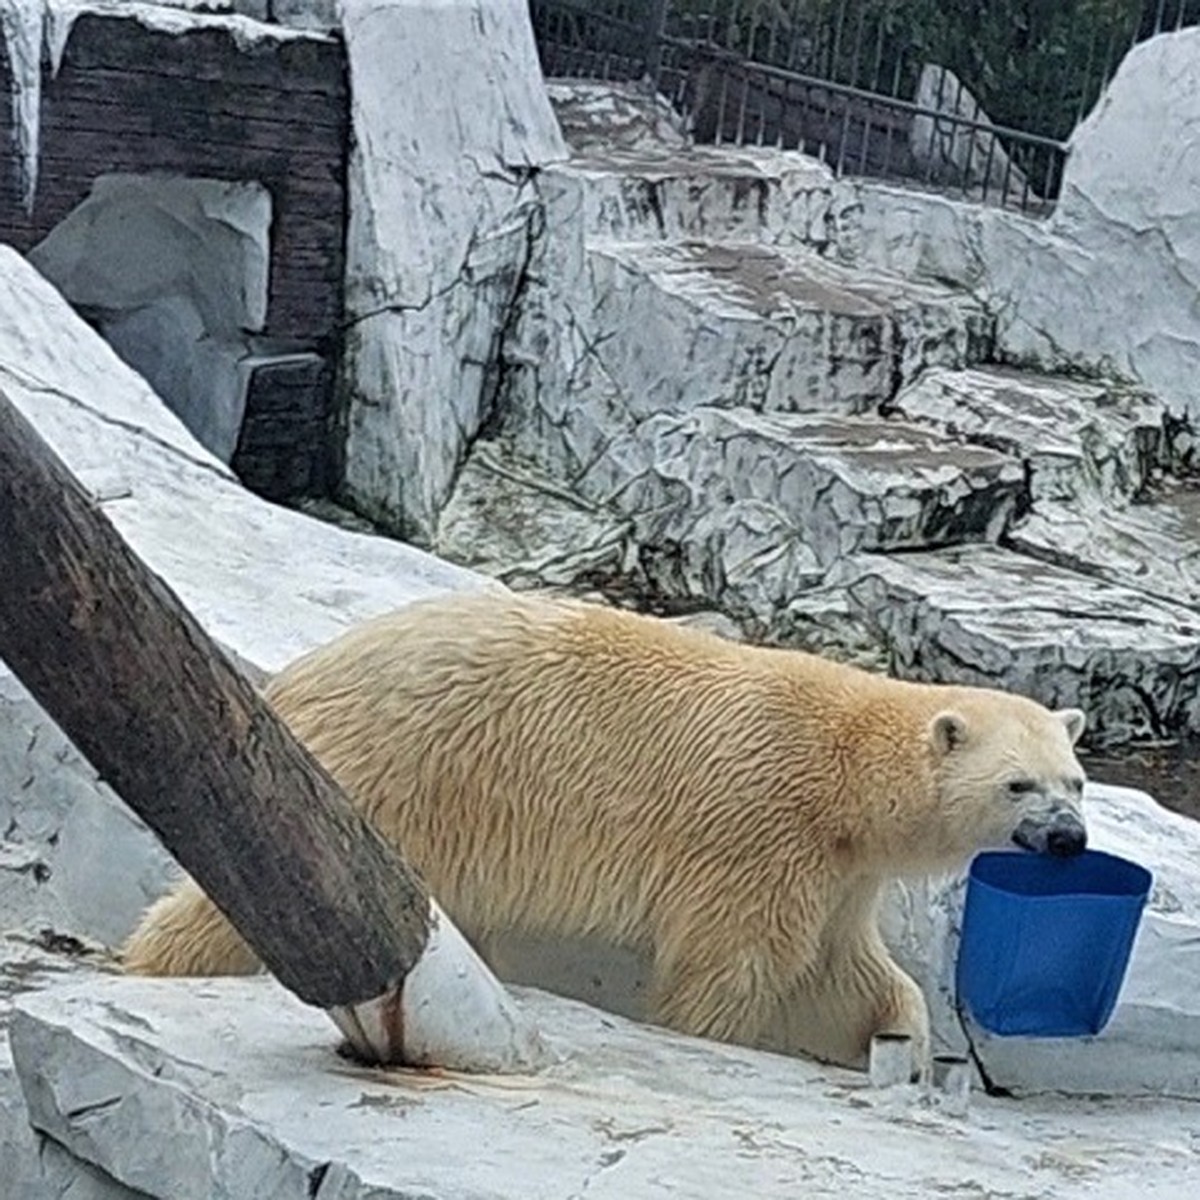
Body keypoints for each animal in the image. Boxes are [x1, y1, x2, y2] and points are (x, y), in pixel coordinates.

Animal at [124, 590, 1089, 1070]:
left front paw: (907, 1041)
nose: (1069, 839)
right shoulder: (762, 832)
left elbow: (839, 971)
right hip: (390, 767)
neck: (844, 765)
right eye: (1018, 784)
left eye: (1075, 780)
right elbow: (736, 966)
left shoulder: (838, 870)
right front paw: (711, 1036)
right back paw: (152, 964)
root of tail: (299, 677)